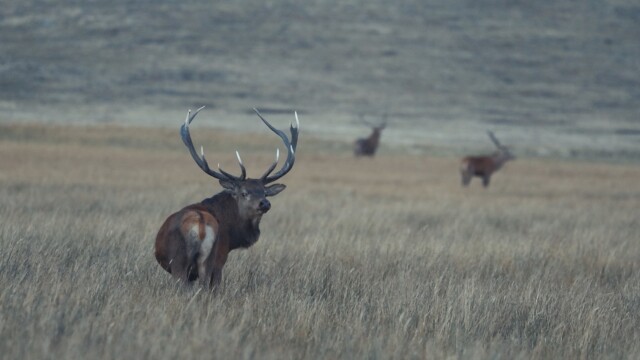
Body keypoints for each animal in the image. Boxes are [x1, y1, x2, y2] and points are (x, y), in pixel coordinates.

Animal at [155, 107, 300, 290]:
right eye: (244, 192)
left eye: (264, 192)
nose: (265, 203)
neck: (233, 236)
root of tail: (200, 224)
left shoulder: (220, 256)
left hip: (186, 262)